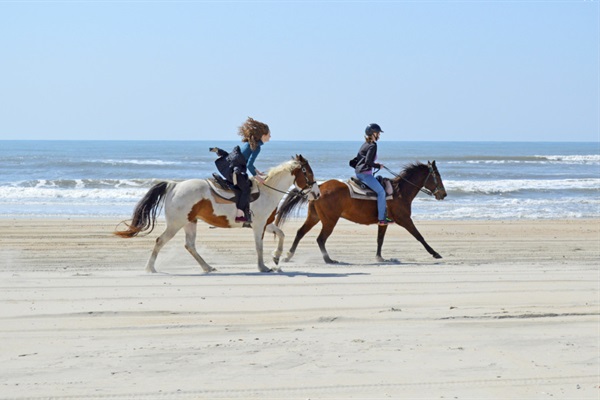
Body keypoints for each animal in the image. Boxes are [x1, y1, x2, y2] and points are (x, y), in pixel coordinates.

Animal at [112, 155, 318, 274]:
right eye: (308, 172)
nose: (317, 194)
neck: (267, 191)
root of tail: (174, 185)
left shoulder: (265, 224)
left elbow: (281, 234)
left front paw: (276, 257)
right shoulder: (258, 225)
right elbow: (259, 247)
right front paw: (263, 267)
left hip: (190, 222)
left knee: (189, 245)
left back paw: (207, 267)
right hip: (176, 224)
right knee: (160, 241)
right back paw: (150, 268)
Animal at [276, 161, 446, 264]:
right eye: (437, 176)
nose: (443, 194)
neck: (400, 192)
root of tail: (319, 188)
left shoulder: (383, 222)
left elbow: (380, 240)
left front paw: (379, 257)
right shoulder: (404, 219)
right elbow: (419, 236)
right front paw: (435, 253)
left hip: (314, 217)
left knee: (300, 233)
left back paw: (289, 256)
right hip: (329, 220)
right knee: (320, 239)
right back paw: (328, 259)